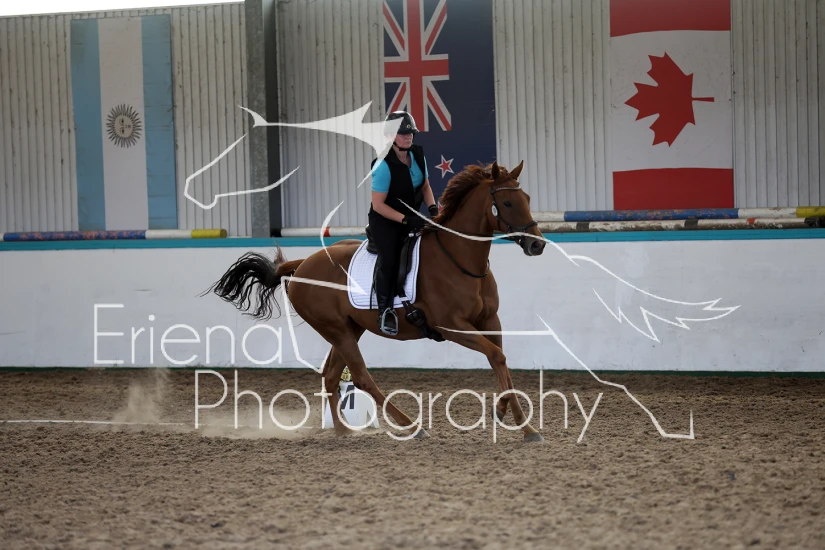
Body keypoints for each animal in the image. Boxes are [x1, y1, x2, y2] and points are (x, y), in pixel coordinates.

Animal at [209, 160, 547, 441]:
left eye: (528, 199)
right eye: (506, 203)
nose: (537, 245)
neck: (460, 258)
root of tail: (302, 264)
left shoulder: (489, 320)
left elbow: (500, 359)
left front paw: (520, 423)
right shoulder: (452, 326)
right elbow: (496, 356)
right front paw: (511, 418)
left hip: (349, 329)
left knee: (331, 376)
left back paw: (344, 431)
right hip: (337, 330)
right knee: (360, 377)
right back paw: (412, 426)